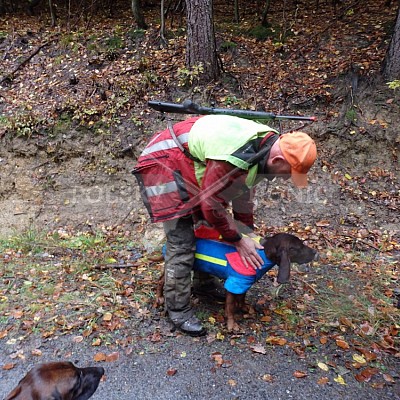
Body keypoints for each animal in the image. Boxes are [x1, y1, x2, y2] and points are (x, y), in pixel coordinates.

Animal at [155, 231, 318, 332]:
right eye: (298, 247)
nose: (315, 252)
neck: (263, 253)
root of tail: (166, 245)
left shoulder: (243, 283)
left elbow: (242, 298)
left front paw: (244, 308)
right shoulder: (233, 284)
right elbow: (230, 308)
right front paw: (232, 325)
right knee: (161, 280)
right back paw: (160, 298)